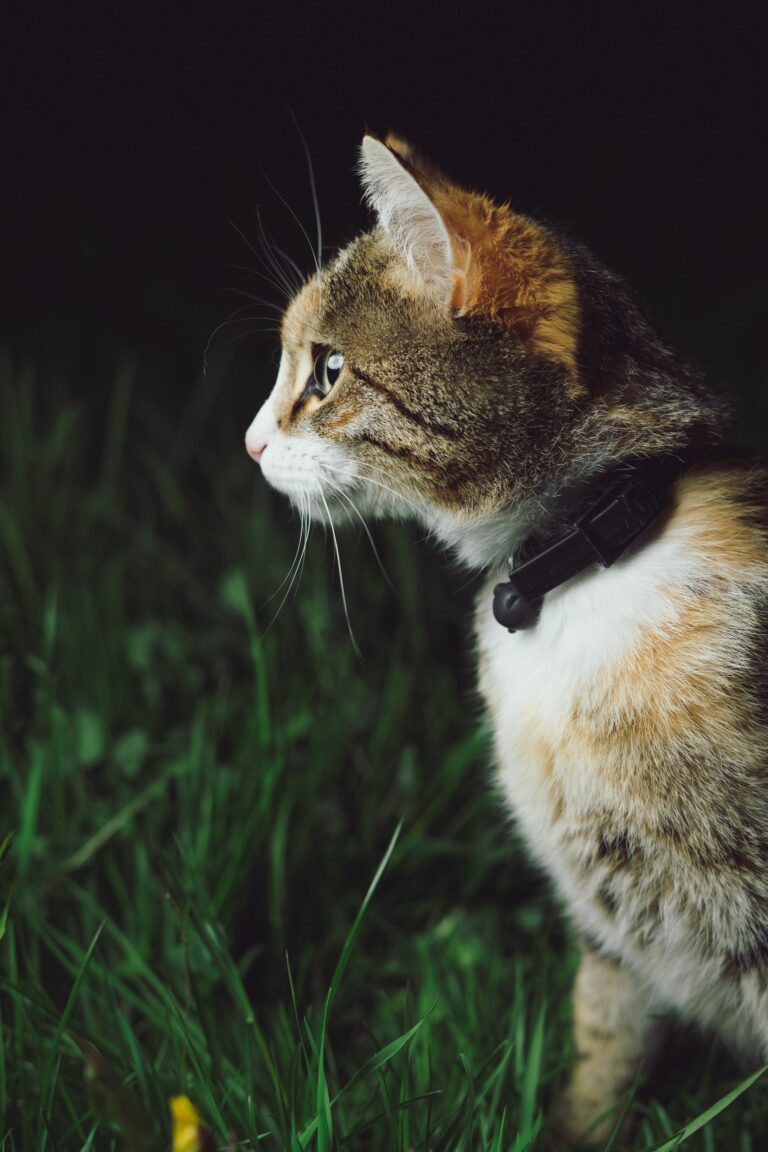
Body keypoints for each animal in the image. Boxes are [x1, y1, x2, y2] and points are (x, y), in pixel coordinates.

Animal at [245, 132, 768, 1142]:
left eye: (328, 371)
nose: (248, 445)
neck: (587, 558)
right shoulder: (613, 934)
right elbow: (601, 1041)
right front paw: (574, 1126)